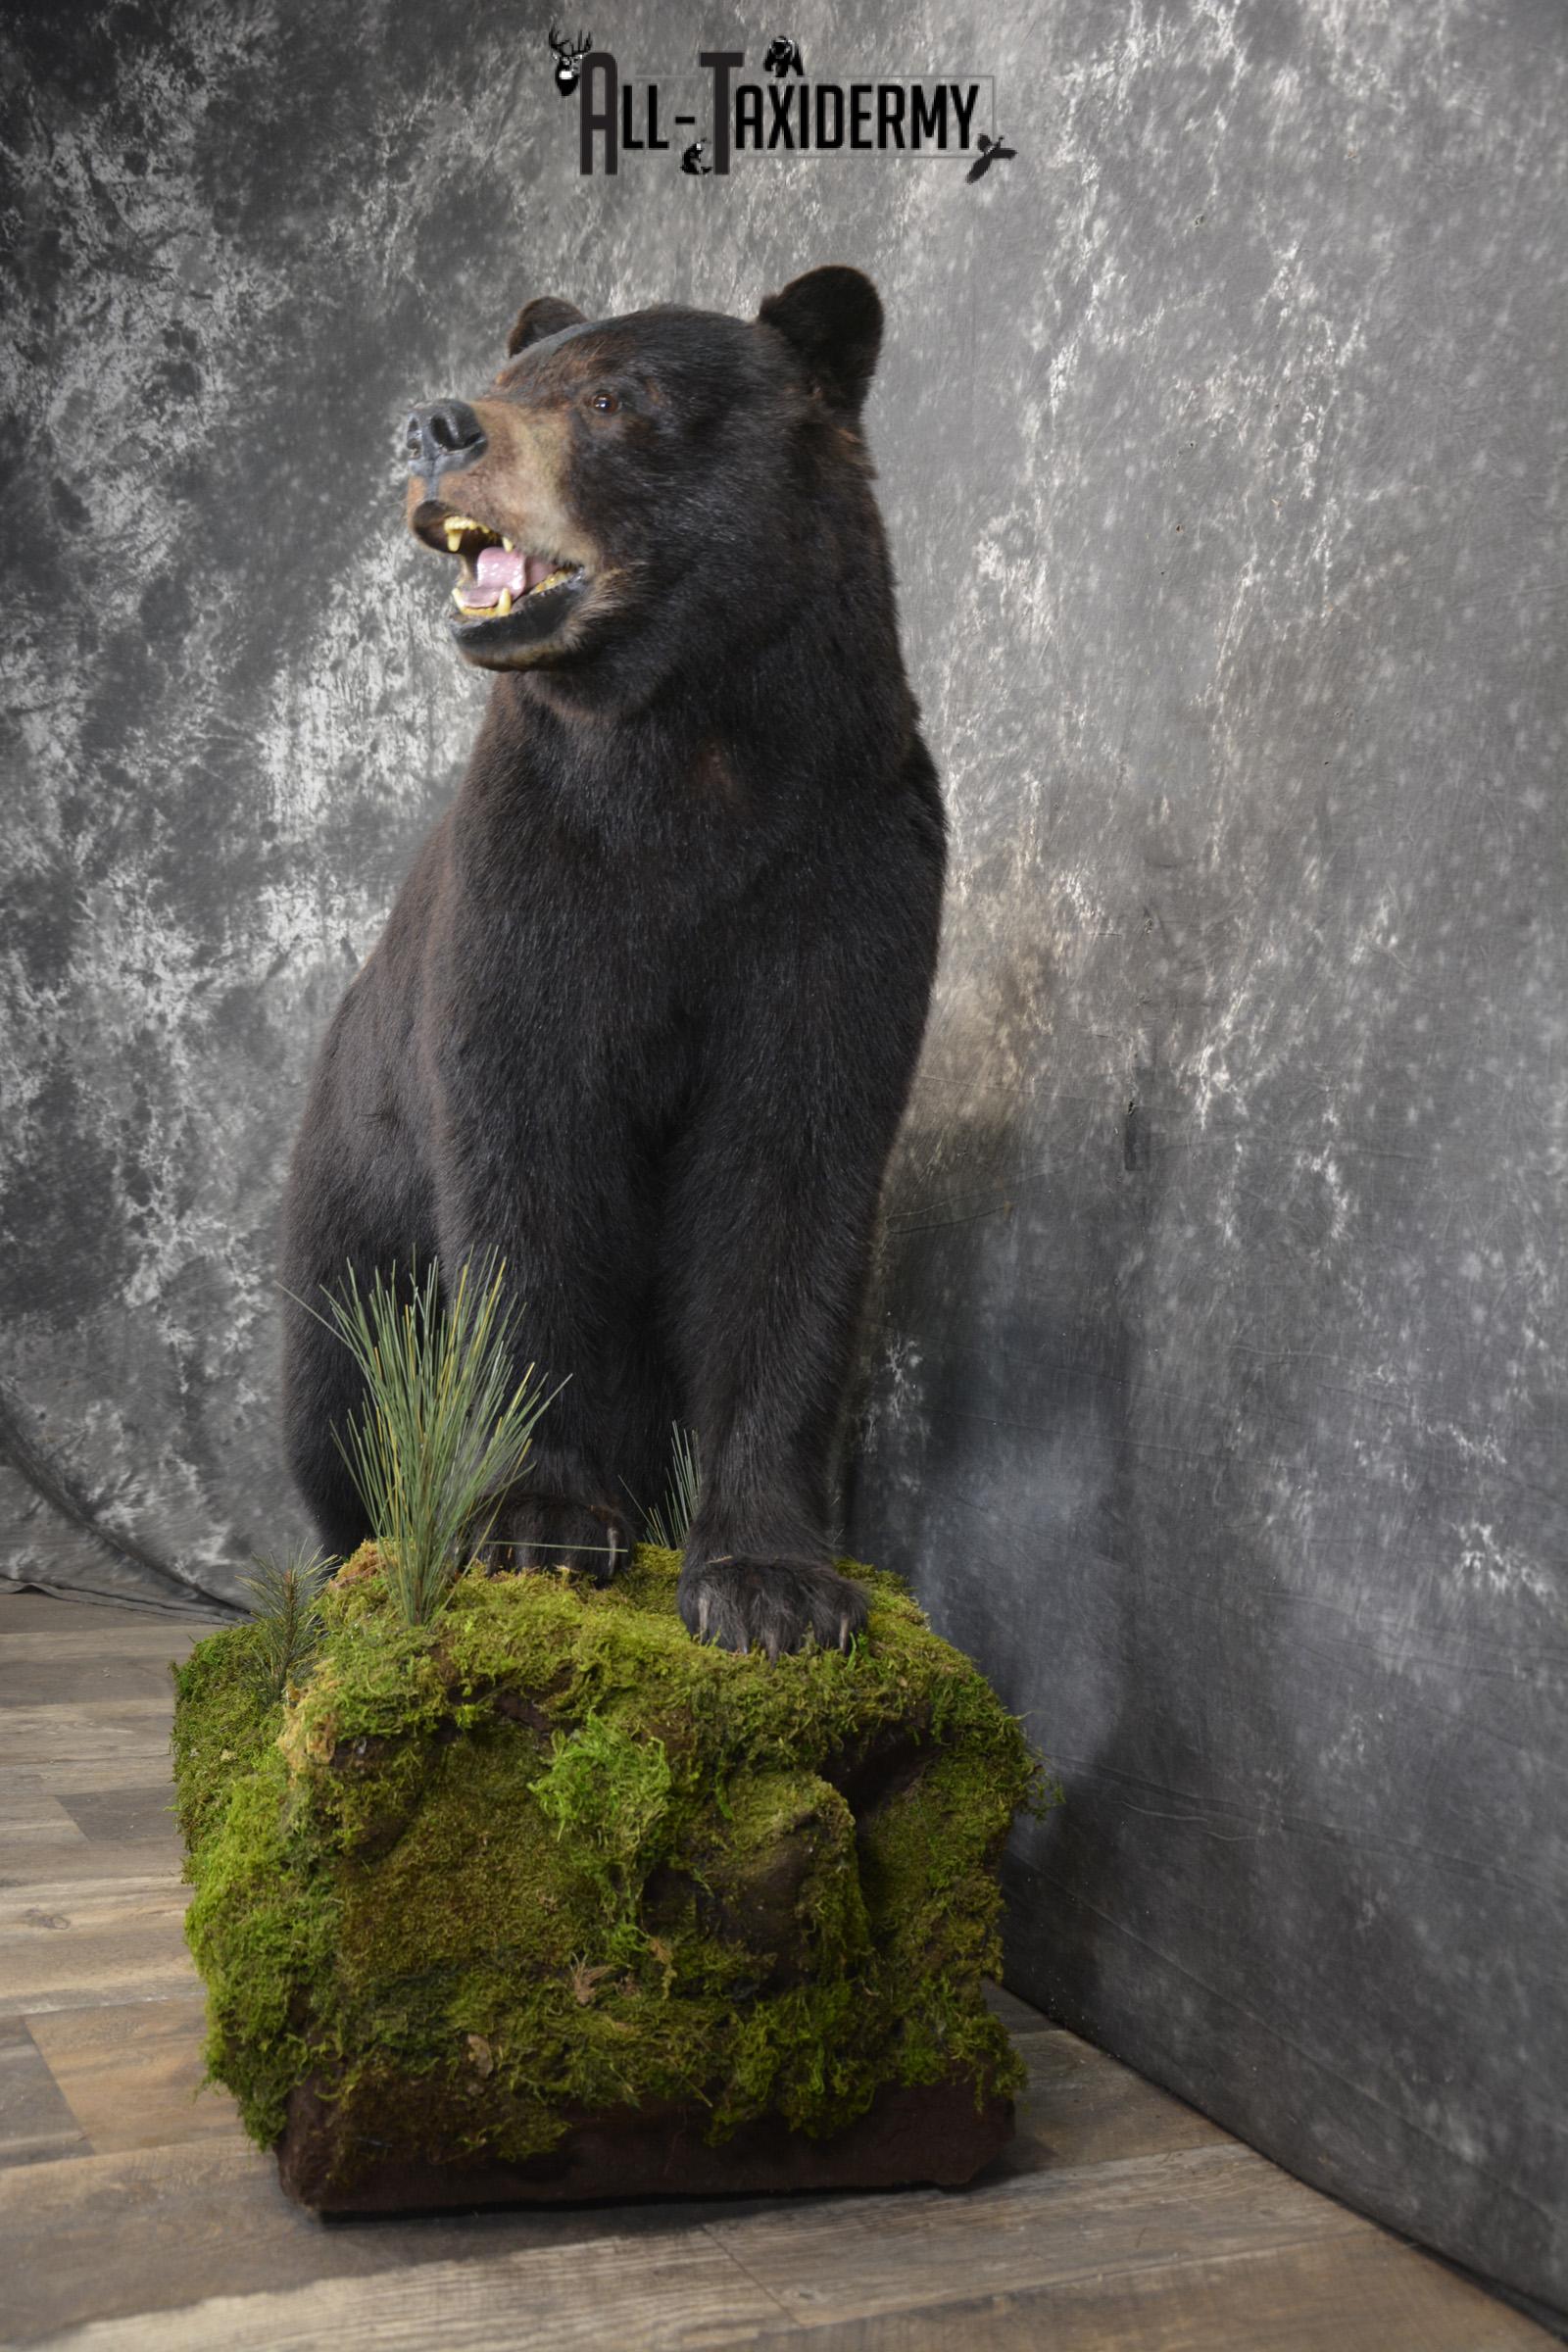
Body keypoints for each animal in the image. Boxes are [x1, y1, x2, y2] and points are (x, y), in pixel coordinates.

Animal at [279, 266, 945, 1657]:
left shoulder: (845, 881)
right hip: (347, 1216)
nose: (438, 426)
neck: (687, 750)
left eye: (612, 398)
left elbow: (790, 1192)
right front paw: (537, 1518)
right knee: (339, 1392)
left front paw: (771, 1581)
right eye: (508, 377)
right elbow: (526, 1174)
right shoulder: (537, 885)